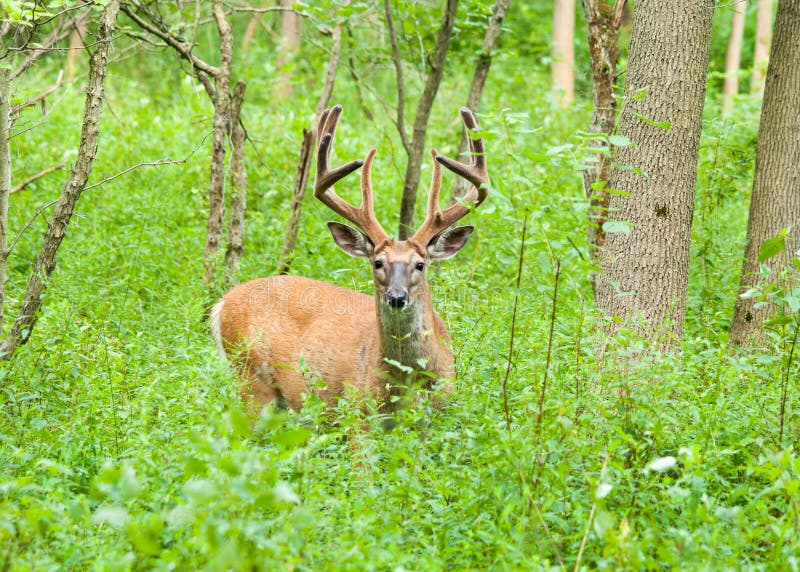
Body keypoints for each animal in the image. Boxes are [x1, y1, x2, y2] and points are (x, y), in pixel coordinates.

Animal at [210, 105, 489, 414]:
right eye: (377, 262)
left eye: (420, 264)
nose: (396, 297)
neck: (409, 382)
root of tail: (222, 303)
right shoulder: (357, 411)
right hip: (251, 379)